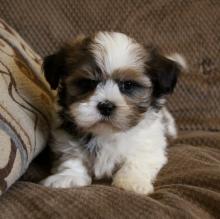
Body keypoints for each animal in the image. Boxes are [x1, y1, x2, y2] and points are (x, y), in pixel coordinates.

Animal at [40, 31, 185, 194]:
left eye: (128, 85)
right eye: (87, 83)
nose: (106, 106)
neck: (107, 133)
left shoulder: (149, 146)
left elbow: (138, 160)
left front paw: (132, 181)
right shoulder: (66, 140)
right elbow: (71, 157)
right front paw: (68, 176)